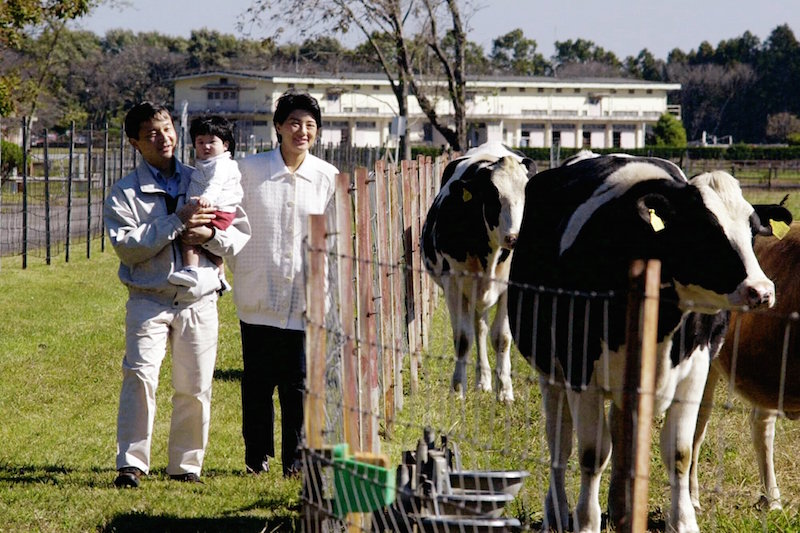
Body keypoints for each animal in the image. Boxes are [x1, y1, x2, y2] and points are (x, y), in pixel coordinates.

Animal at [418, 143, 536, 402]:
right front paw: (457, 390)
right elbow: (463, 339)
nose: (515, 238)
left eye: (528, 195)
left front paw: (505, 392)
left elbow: (502, 338)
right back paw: (482, 381)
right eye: (493, 196)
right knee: (478, 330)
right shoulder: (453, 284)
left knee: (482, 329)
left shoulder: (510, 287)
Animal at [510, 154, 780, 532]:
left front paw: (683, 521)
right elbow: (592, 454)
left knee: (620, 429)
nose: (761, 291)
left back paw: (620, 507)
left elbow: (679, 453)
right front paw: (587, 521)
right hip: (551, 373)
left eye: (753, 232)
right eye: (704, 230)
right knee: (559, 443)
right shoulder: (581, 371)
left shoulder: (694, 370)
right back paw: (557, 511)